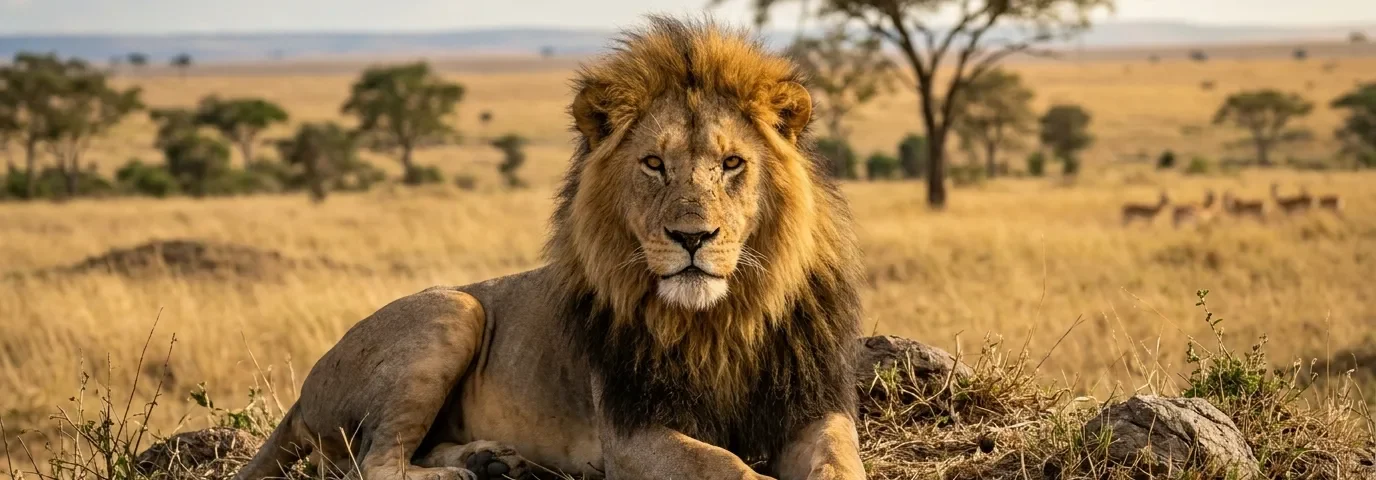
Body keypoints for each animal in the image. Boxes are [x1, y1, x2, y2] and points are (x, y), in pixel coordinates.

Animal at [234, 16, 865, 480]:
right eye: (654, 164)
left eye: (732, 163)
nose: (692, 238)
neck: (720, 319)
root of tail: (304, 392)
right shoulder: (631, 432)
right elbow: (725, 465)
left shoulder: (814, 408)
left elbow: (838, 462)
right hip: (454, 308)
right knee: (372, 463)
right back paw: (462, 471)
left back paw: (490, 459)